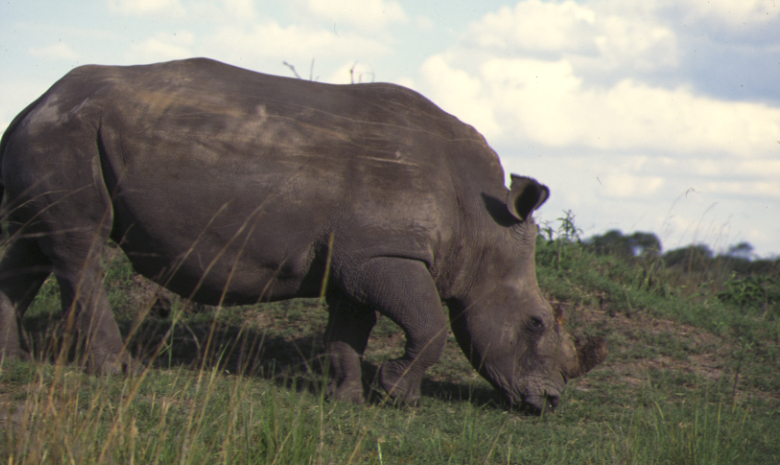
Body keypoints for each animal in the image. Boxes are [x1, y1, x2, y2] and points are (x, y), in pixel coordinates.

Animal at [0, 57, 608, 410]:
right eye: (535, 323)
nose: (550, 402)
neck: (481, 229)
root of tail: (35, 101)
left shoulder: (359, 258)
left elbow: (348, 329)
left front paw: (346, 401)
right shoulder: (387, 253)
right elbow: (430, 326)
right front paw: (397, 398)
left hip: (57, 131)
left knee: (31, 251)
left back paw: (10, 358)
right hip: (68, 130)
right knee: (80, 247)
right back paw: (116, 372)